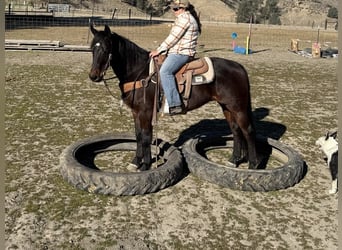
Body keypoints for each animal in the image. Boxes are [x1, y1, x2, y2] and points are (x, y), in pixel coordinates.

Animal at [87, 23, 260, 170]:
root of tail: (239, 67)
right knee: (236, 130)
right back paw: (234, 160)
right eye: (92, 49)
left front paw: (146, 165)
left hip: (238, 108)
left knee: (248, 131)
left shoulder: (146, 112)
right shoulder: (136, 112)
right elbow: (138, 136)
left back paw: (253, 164)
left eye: (105, 48)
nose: (93, 76)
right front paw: (135, 162)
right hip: (227, 107)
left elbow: (146, 137)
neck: (138, 72)